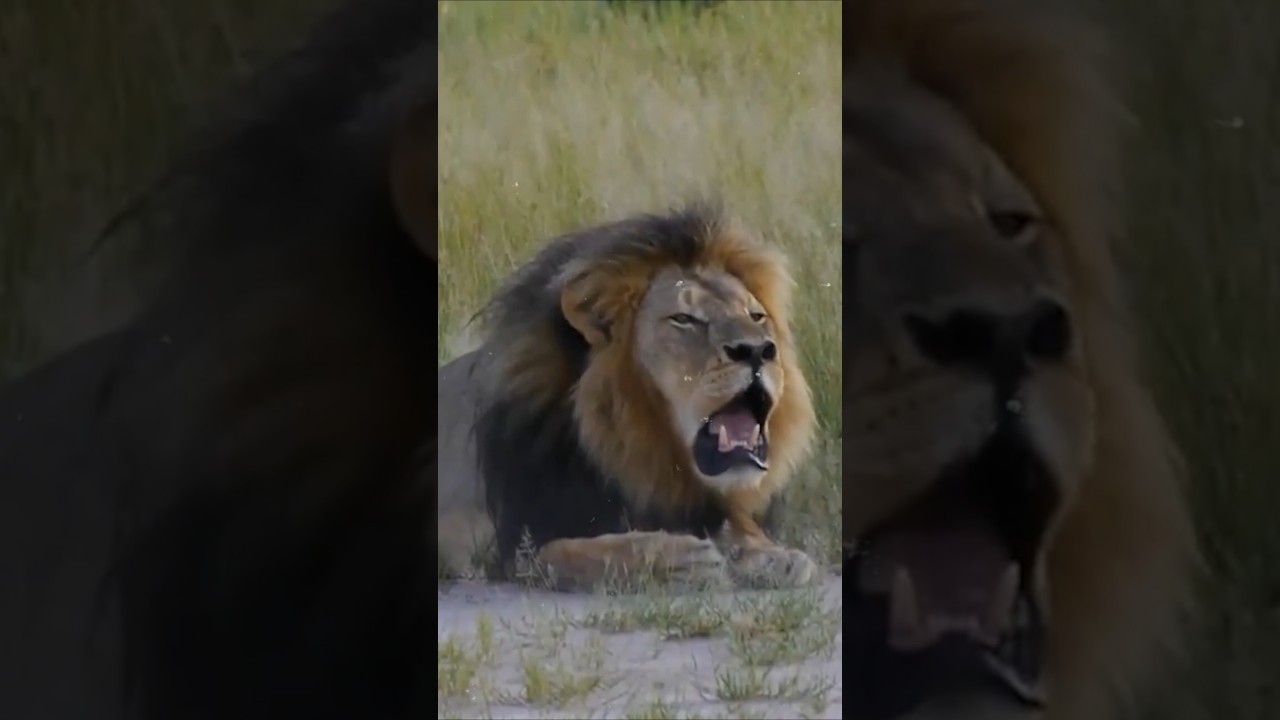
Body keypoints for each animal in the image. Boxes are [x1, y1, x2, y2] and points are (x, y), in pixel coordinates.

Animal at [437, 204, 821, 592]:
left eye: (756, 316)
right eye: (684, 319)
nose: (758, 350)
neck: (644, 453)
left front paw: (771, 555)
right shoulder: (516, 547)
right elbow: (586, 552)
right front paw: (682, 558)